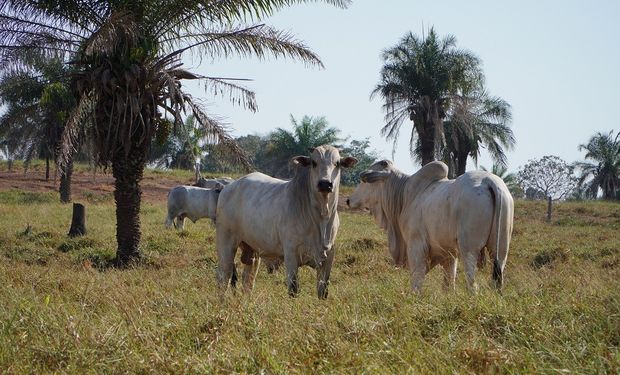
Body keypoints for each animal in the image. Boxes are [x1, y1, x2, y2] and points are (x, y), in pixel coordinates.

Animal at [216, 145, 356, 298]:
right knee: (224, 276)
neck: (321, 218)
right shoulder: (291, 254)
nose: (325, 184)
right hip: (226, 243)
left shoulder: (329, 256)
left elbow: (323, 291)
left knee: (248, 279)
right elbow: (293, 289)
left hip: (252, 250)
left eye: (337, 163)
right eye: (314, 163)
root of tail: (228, 187)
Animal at [348, 160, 512, 292]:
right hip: (500, 249)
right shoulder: (450, 253)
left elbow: (417, 279)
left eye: (365, 182)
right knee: (498, 280)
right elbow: (448, 285)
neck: (403, 196)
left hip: (469, 249)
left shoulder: (416, 246)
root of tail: (489, 181)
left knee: (472, 284)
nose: (349, 200)